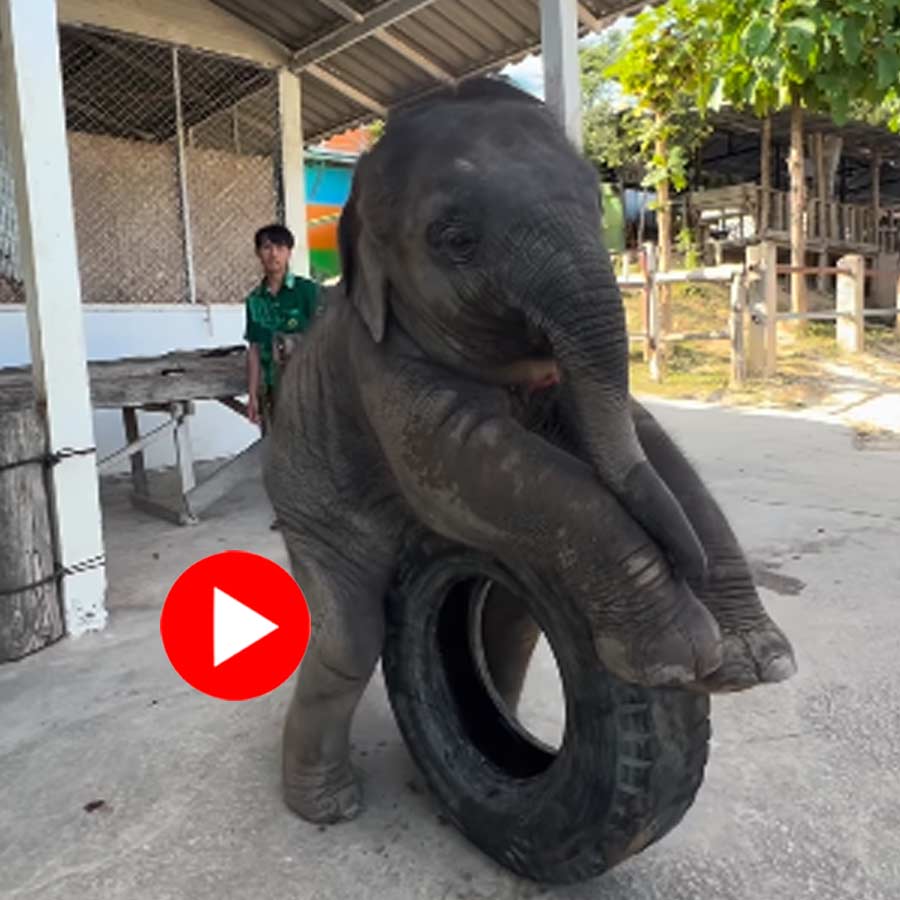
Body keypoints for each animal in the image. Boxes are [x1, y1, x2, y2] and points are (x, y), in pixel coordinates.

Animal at [262, 76, 796, 826]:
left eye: (599, 211)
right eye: (455, 240)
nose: (684, 563)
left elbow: (647, 440)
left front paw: (756, 662)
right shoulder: (382, 369)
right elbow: (461, 463)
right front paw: (677, 659)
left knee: (509, 630)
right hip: (305, 498)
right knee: (348, 640)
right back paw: (329, 807)